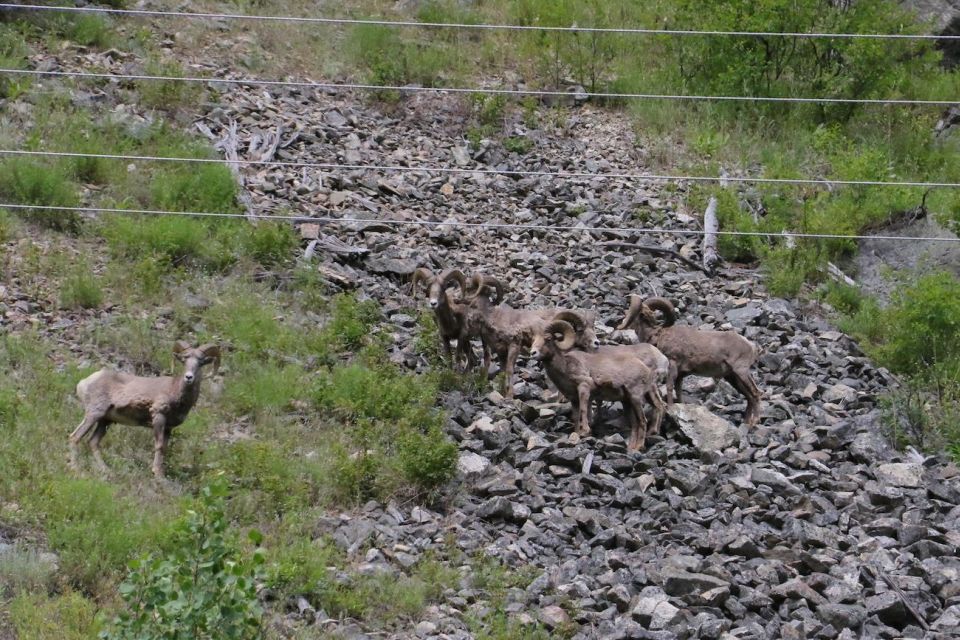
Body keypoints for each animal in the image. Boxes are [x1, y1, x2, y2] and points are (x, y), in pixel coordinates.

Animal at [68, 342, 220, 478]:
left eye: (200, 362)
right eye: (184, 360)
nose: (189, 377)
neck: (176, 392)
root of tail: (84, 382)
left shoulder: (168, 428)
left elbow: (164, 449)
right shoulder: (158, 417)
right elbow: (159, 445)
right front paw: (157, 474)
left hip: (105, 421)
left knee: (93, 442)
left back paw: (107, 471)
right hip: (94, 414)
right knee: (75, 437)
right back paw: (76, 470)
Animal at [528, 320, 664, 450]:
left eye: (548, 339)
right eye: (533, 340)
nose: (533, 353)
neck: (565, 367)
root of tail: (646, 369)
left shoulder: (584, 387)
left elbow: (584, 410)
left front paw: (585, 432)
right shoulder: (574, 399)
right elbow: (576, 416)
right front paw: (577, 434)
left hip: (636, 398)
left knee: (644, 420)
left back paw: (641, 445)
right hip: (628, 402)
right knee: (636, 424)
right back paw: (632, 448)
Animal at [620, 298, 760, 428]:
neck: (657, 336)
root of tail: (751, 346)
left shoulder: (673, 364)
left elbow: (670, 387)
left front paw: (671, 408)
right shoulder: (681, 375)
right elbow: (678, 391)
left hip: (741, 372)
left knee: (756, 393)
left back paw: (754, 422)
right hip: (733, 378)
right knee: (749, 397)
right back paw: (746, 422)